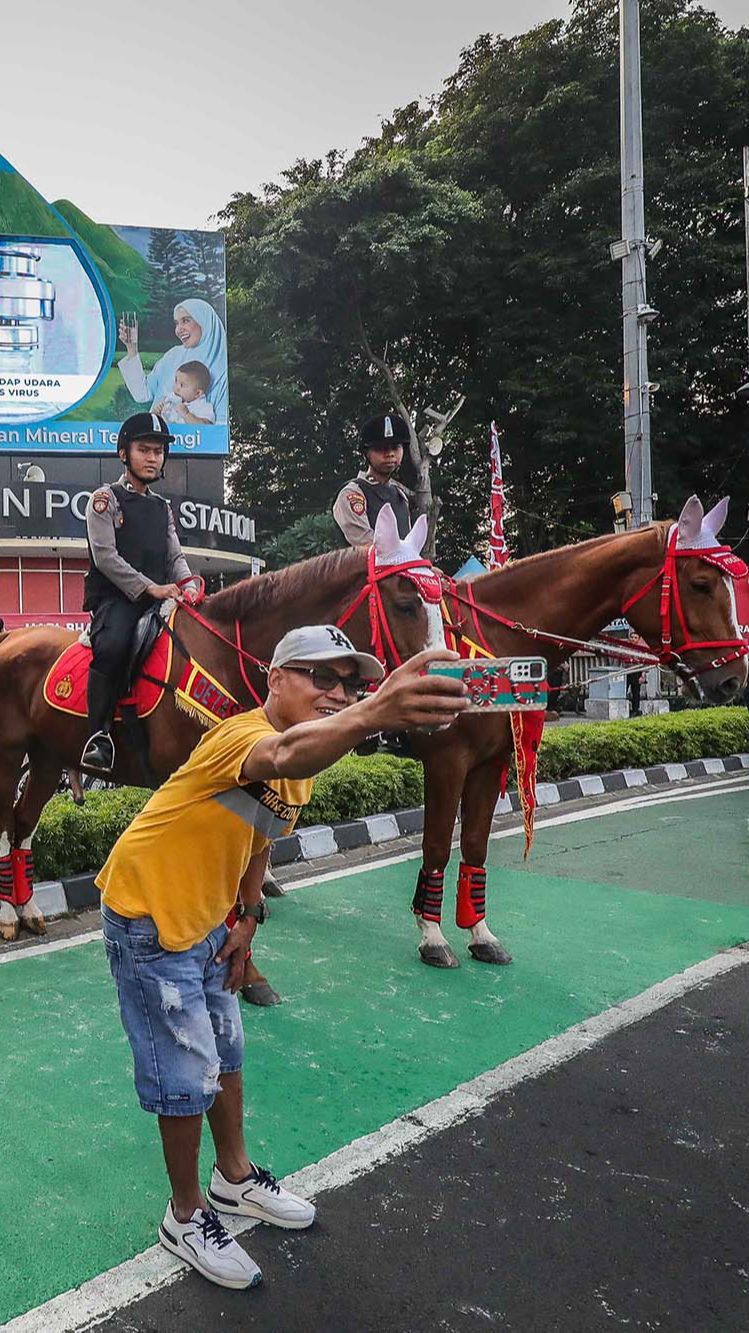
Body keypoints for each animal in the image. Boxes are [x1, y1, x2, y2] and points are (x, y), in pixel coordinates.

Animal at [0, 506, 437, 938]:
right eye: (406, 604)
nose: (438, 674)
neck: (225, 656)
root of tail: (12, 639)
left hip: (47, 756)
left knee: (23, 821)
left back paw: (28, 908)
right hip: (11, 754)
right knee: (7, 823)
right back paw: (8, 915)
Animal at [407, 501, 746, 970]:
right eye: (700, 584)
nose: (734, 680)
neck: (494, 641)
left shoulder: (490, 761)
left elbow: (474, 845)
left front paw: (480, 934)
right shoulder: (447, 760)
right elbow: (438, 844)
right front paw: (432, 937)